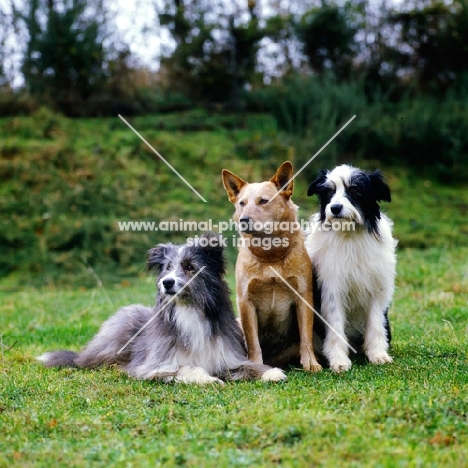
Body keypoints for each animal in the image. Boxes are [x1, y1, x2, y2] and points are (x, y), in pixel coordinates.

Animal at [37, 231, 286, 384]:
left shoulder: (227, 357)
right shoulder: (154, 366)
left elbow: (249, 367)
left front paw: (272, 373)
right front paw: (207, 379)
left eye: (189, 266)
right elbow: (186, 368)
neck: (188, 309)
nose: (166, 283)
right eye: (167, 268)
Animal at [222, 162, 322, 372]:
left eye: (263, 201)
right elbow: (253, 342)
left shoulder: (303, 296)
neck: (270, 258)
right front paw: (256, 365)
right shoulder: (245, 301)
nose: (244, 220)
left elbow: (306, 337)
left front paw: (311, 363)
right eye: (242, 203)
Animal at [306, 165, 396, 372]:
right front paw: (339, 361)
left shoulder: (377, 289)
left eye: (355, 189)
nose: (335, 208)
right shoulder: (332, 289)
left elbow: (375, 324)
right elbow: (336, 324)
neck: (349, 235)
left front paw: (378, 355)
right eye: (329, 191)